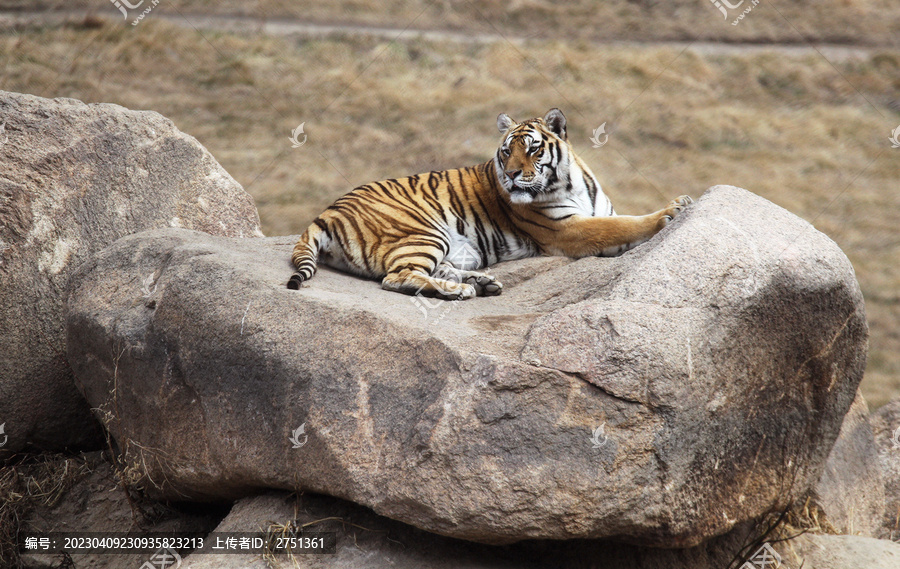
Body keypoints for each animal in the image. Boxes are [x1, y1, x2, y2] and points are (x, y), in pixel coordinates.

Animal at [286, 108, 688, 300]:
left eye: (533, 149)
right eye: (506, 151)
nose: (510, 175)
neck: (570, 180)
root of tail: (323, 214)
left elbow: (619, 223)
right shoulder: (566, 230)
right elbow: (624, 225)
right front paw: (673, 209)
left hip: (456, 247)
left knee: (433, 270)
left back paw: (483, 282)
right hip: (424, 232)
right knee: (396, 277)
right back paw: (463, 291)